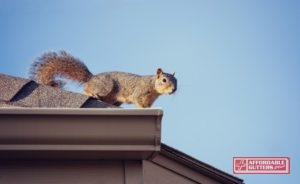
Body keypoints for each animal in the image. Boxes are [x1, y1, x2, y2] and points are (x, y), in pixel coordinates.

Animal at [29, 50, 177, 108]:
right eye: (164, 80)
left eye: (177, 81)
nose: (174, 89)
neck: (152, 86)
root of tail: (92, 78)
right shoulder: (140, 92)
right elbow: (138, 101)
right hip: (105, 87)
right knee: (86, 89)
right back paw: (91, 93)